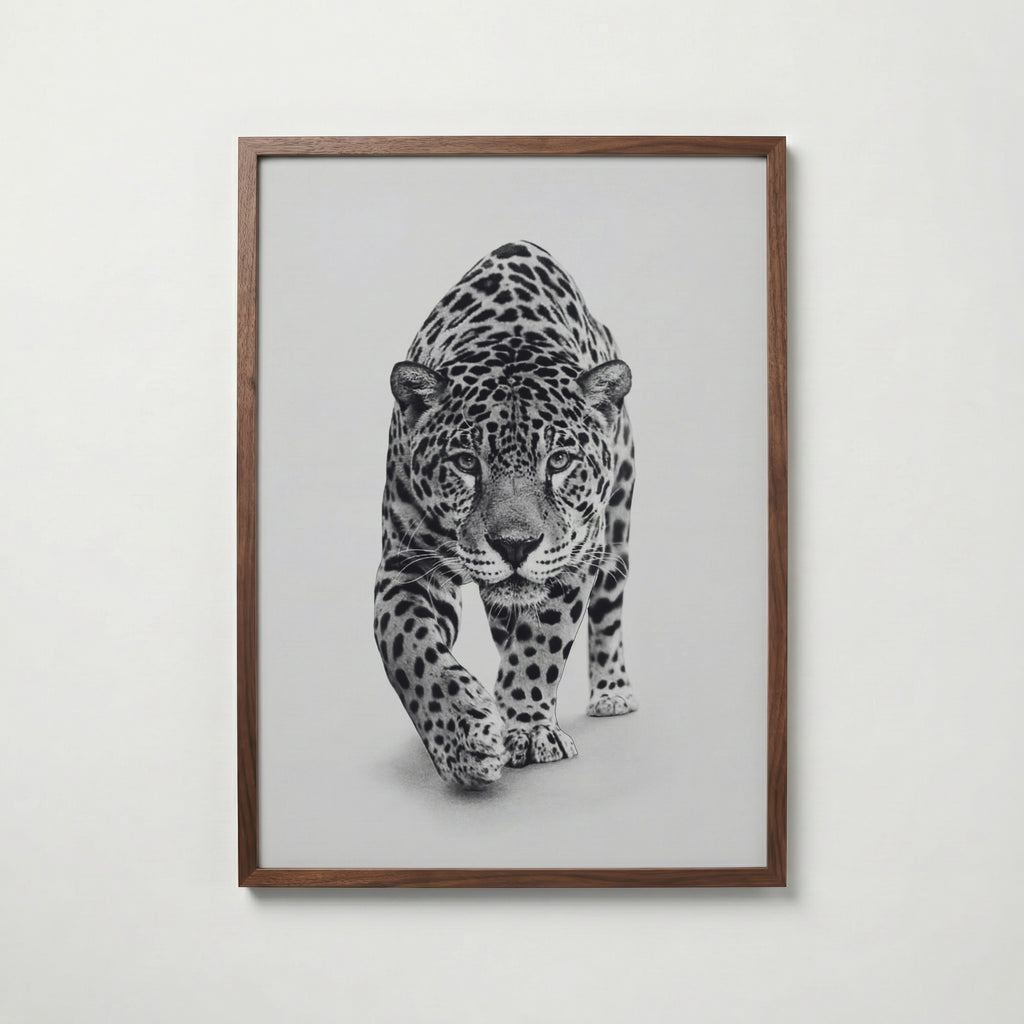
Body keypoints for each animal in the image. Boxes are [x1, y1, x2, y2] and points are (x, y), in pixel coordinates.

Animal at [372, 241, 637, 788]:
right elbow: (409, 648)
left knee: (608, 611)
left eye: (558, 461)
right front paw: (463, 738)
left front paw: (529, 729)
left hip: (618, 528)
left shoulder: (574, 557)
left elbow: (541, 645)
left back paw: (611, 692)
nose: (515, 545)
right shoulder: (406, 565)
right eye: (466, 463)